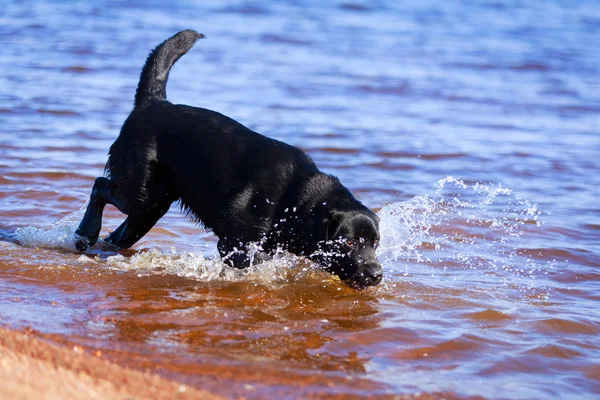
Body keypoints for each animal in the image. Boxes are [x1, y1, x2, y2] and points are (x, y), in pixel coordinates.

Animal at [75, 29, 382, 290]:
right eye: (349, 242)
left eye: (375, 243)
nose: (376, 274)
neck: (294, 201)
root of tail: (152, 103)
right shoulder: (234, 243)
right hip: (141, 193)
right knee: (100, 185)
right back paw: (85, 234)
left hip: (151, 208)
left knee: (118, 232)